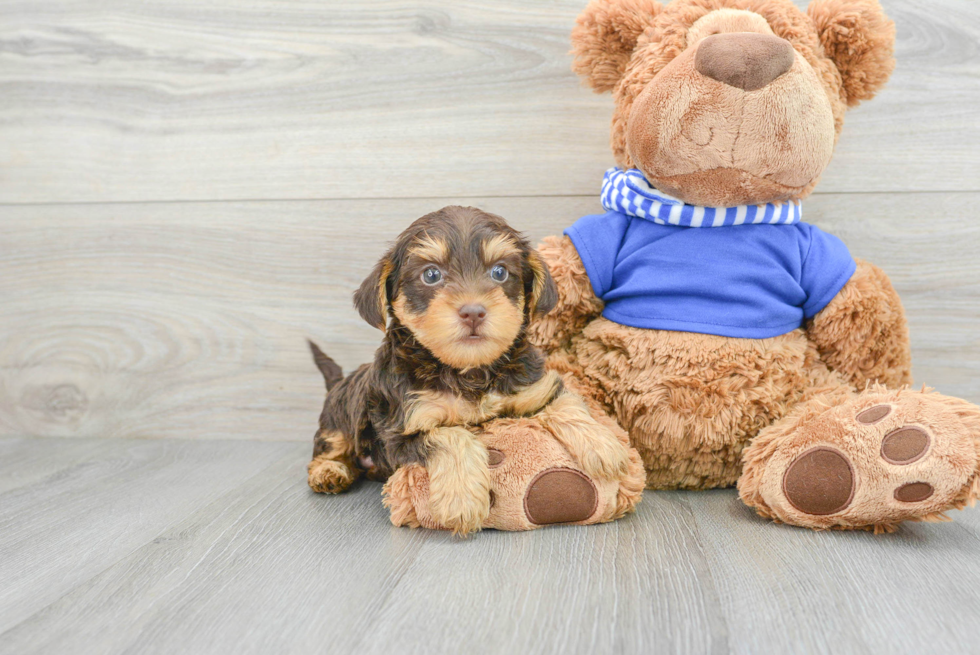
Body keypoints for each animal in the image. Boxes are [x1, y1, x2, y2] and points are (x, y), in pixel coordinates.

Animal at [306, 208, 632, 536]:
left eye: (499, 272)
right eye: (431, 275)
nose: (473, 311)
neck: (468, 370)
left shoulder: (533, 386)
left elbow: (566, 401)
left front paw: (603, 445)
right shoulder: (399, 432)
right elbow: (451, 435)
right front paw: (461, 500)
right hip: (338, 417)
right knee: (330, 444)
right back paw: (329, 471)